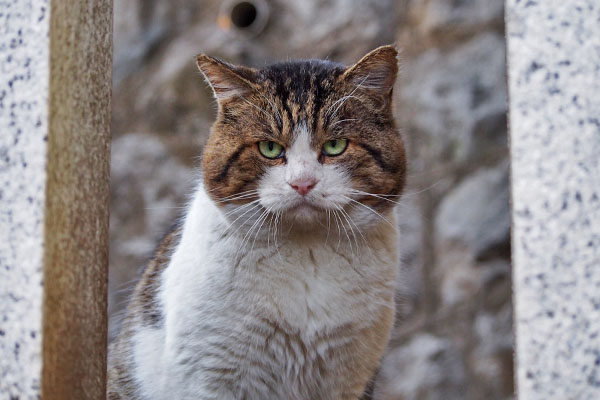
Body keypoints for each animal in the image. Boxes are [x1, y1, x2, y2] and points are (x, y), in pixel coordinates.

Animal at [108, 45, 408, 398]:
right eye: (269, 148)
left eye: (335, 145)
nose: (302, 183)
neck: (307, 255)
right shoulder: (207, 376)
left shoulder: (351, 379)